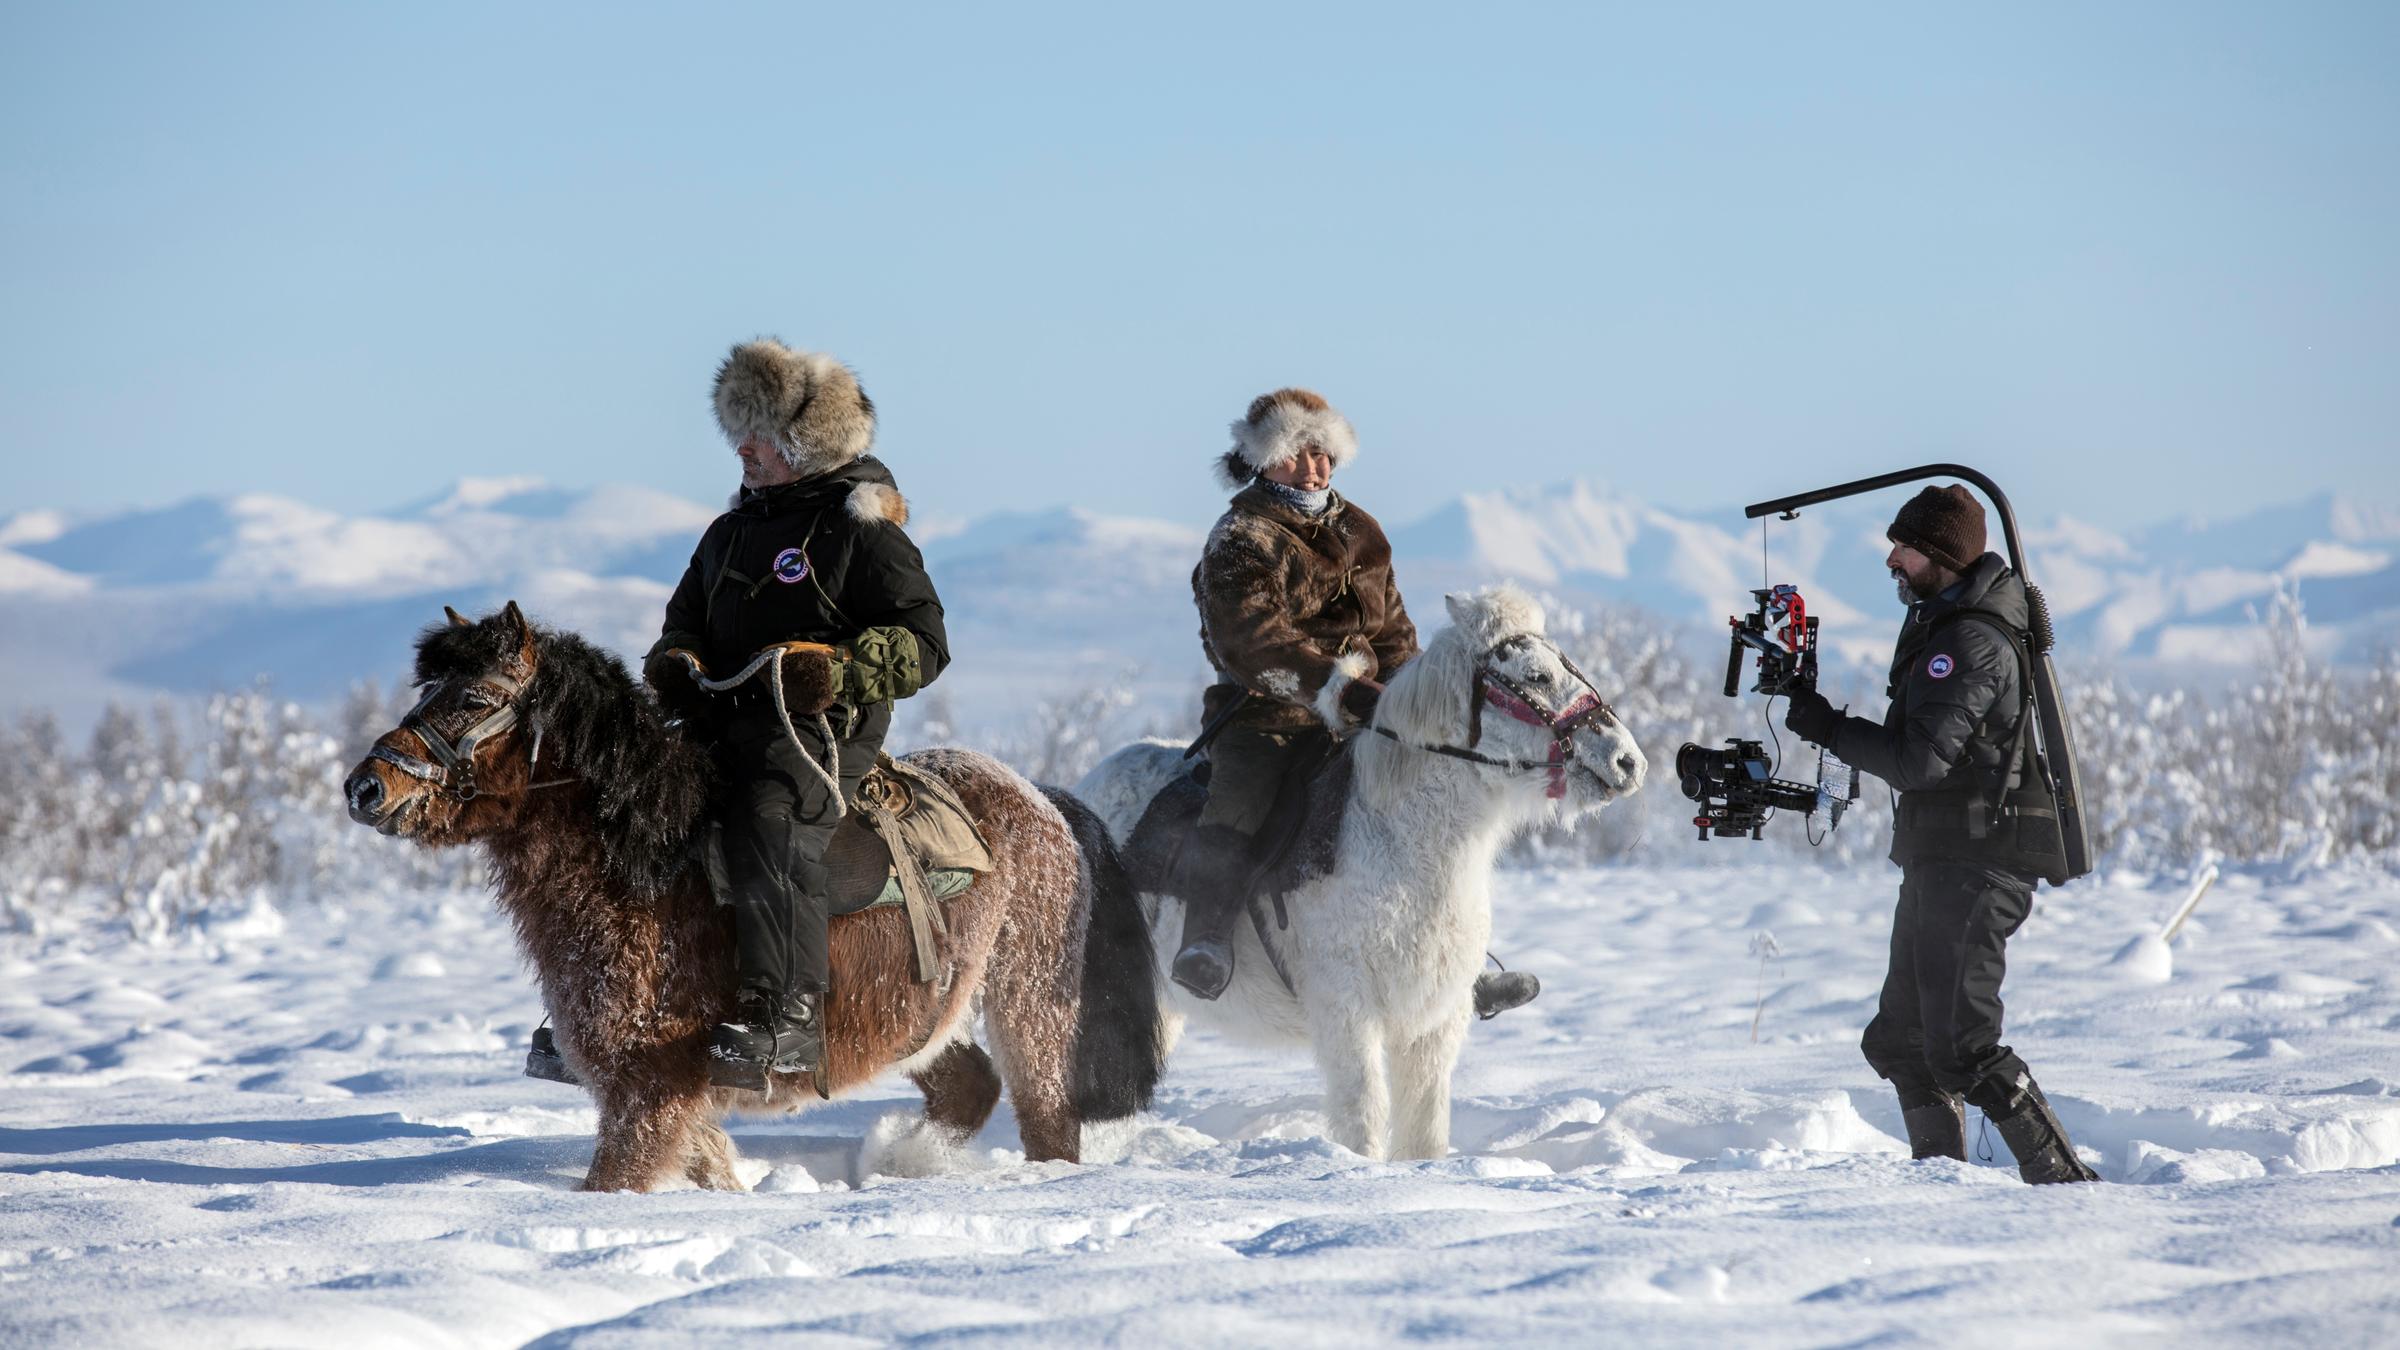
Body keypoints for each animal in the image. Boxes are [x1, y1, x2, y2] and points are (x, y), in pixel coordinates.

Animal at [340, 601, 1163, 1192]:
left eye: (475, 697)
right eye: (426, 692)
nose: (364, 787)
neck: (651, 869)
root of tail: (1043, 800)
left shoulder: (647, 1095)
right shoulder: (667, 1102)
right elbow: (711, 1168)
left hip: (1031, 999)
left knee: (1046, 1117)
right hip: (927, 1013)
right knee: (969, 1088)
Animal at [1074, 585, 1645, 1161]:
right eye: (1537, 676)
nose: (1628, 762)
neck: (1403, 844)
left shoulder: (1434, 1024)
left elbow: (1425, 1128)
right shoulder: (1347, 1012)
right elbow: (1364, 1114)